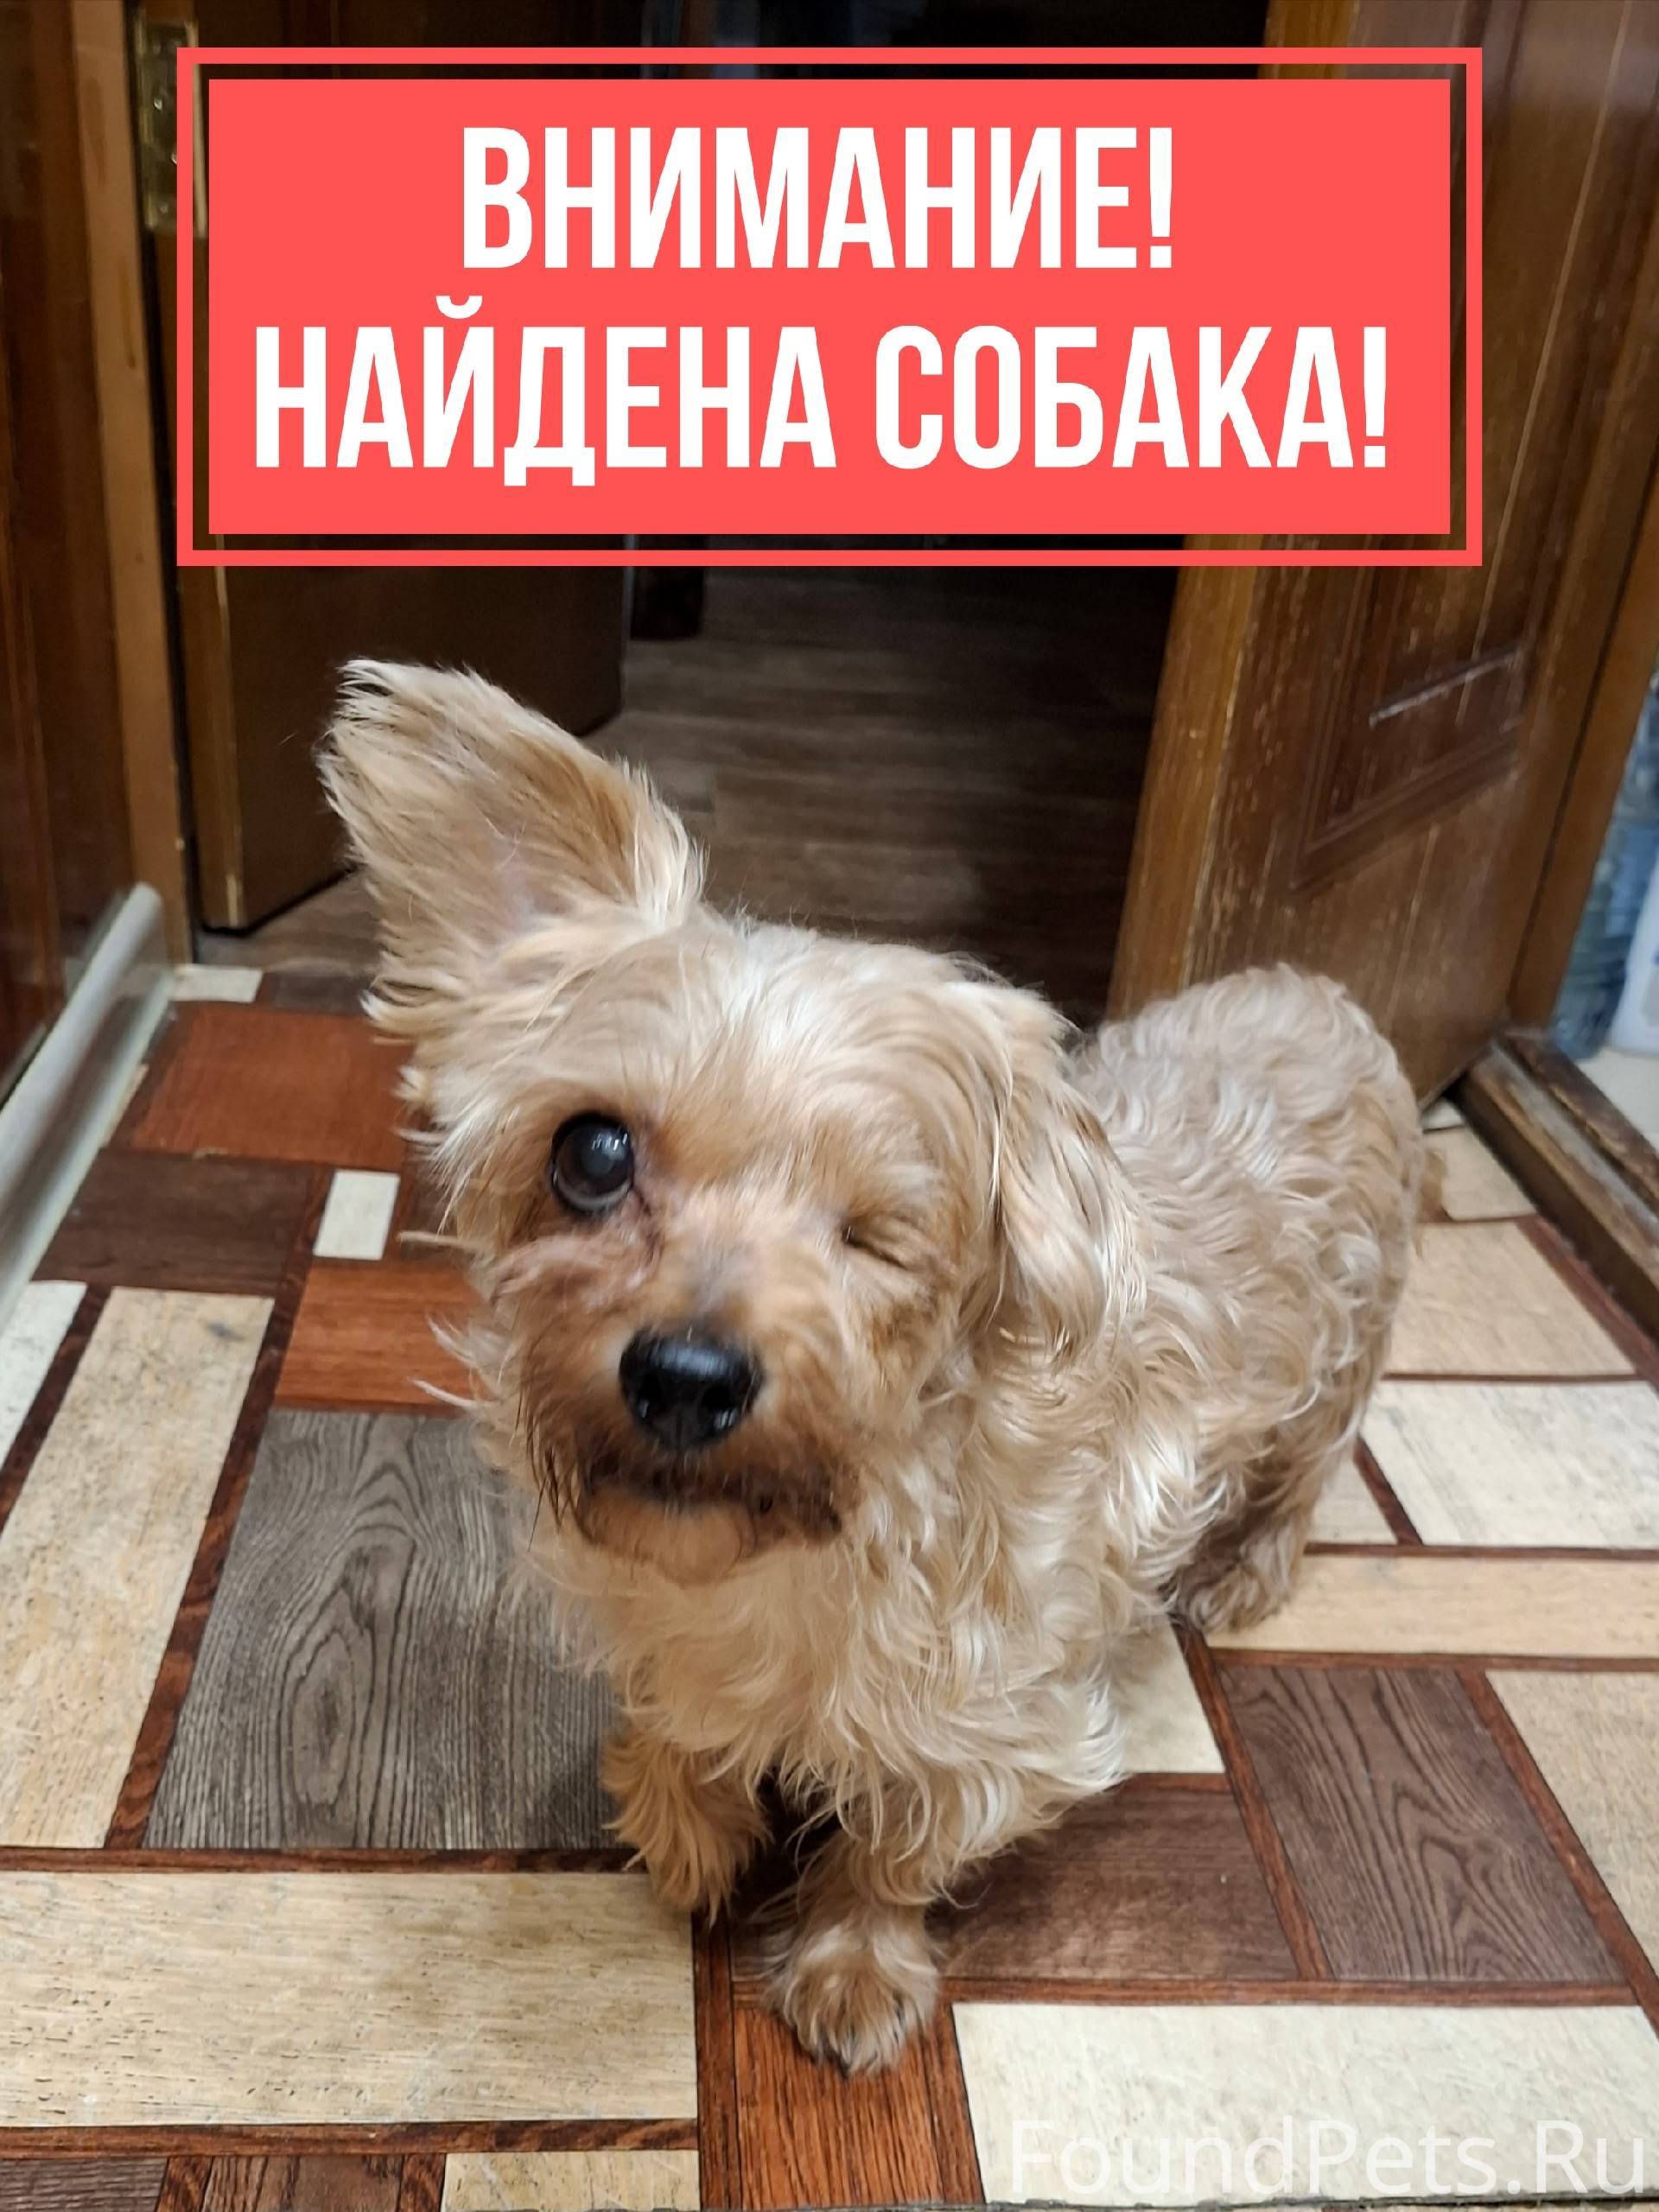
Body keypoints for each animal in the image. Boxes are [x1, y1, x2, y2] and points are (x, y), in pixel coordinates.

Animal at [322, 661, 1426, 2073]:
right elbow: (675, 1732)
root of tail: (1324, 994)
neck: (789, 1556)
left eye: (881, 1230)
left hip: (1341, 1363)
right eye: (592, 1153)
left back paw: (1247, 1574)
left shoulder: (991, 1722)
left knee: (1307, 1469)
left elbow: (895, 1847)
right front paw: (687, 1825)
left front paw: (851, 1964)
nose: (685, 1376)